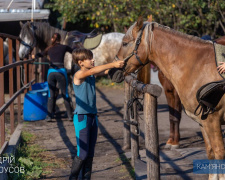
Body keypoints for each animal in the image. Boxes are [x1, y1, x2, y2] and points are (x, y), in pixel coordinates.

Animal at [110, 16, 225, 179]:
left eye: (125, 43)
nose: (111, 72)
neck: (198, 67)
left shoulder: (213, 121)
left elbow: (219, 153)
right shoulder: (204, 123)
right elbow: (211, 153)